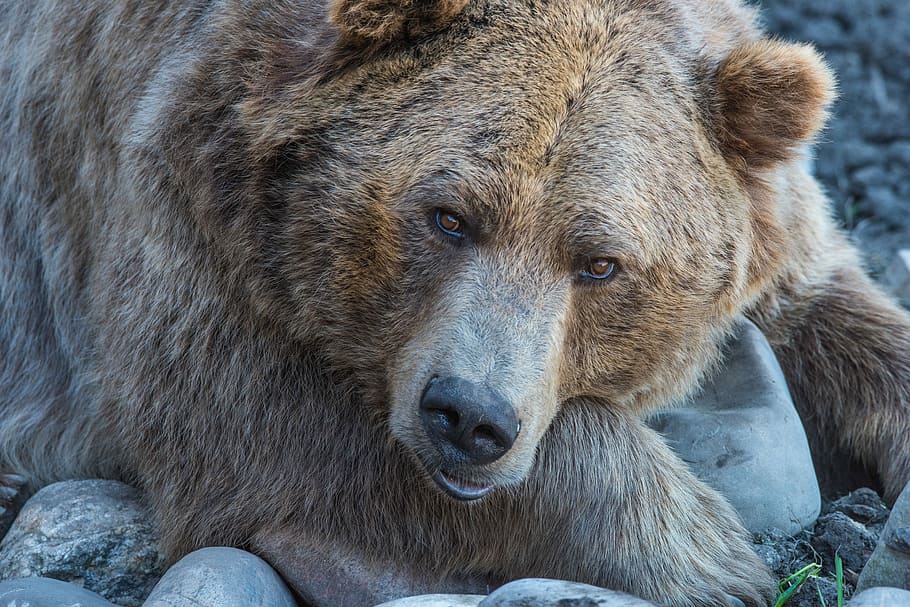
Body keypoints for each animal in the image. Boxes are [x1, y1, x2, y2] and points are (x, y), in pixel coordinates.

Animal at [1, 0, 908, 606]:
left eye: (600, 263)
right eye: (447, 215)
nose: (470, 417)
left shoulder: (774, 229)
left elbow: (831, 307)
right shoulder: (165, 185)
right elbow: (248, 422)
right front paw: (706, 553)